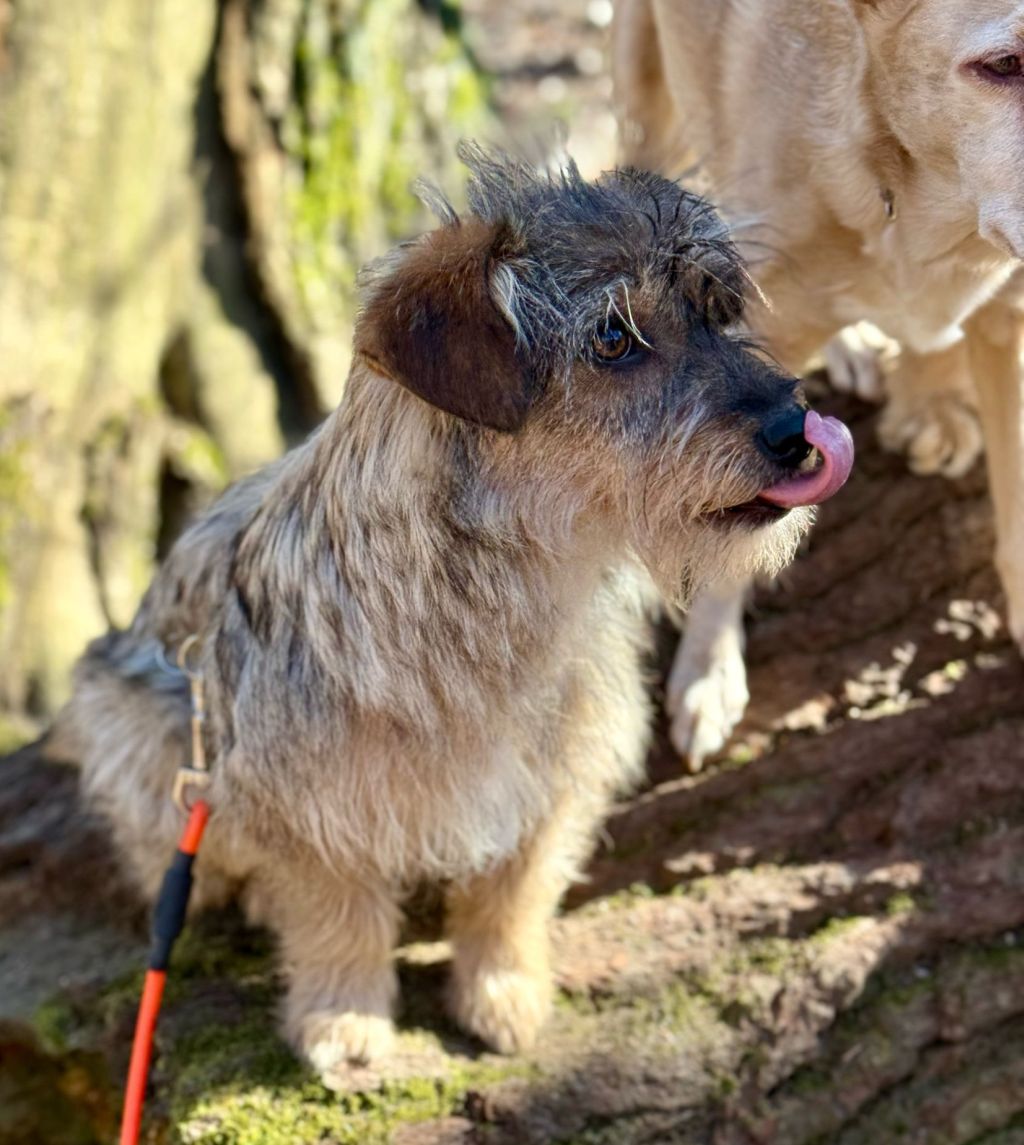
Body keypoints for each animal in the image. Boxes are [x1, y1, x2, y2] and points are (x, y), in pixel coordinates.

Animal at [53, 144, 852, 1076]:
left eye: (715, 311)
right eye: (613, 337)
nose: (798, 429)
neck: (498, 589)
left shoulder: (559, 774)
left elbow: (514, 892)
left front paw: (503, 990)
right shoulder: (307, 801)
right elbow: (338, 913)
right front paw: (344, 1017)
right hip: (136, 719)